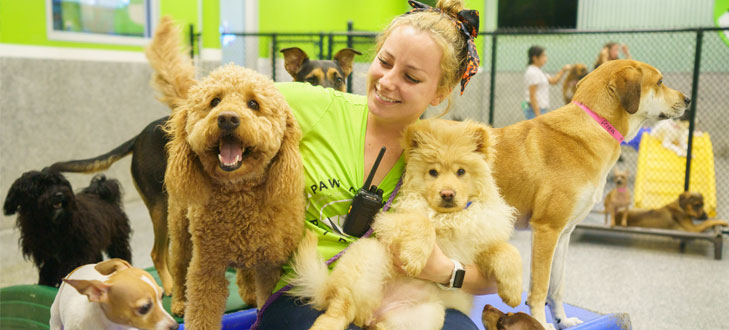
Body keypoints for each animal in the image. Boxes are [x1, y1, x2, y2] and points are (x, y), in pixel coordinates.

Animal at [2, 169, 132, 288]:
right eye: (41, 188)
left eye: (60, 183)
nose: (59, 194)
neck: (49, 225)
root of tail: (100, 193)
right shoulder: (49, 256)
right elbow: (47, 270)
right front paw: (44, 283)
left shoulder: (76, 252)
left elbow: (68, 269)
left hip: (116, 240)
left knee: (122, 253)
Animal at [145, 18, 304, 330]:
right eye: (215, 101)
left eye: (253, 104)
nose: (228, 118)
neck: (239, 197)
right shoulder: (207, 267)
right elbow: (201, 312)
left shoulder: (269, 265)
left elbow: (266, 300)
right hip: (180, 231)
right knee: (177, 266)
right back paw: (179, 301)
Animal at [288, 119, 520, 330]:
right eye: (433, 172)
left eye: (461, 172)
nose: (447, 194)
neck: (450, 217)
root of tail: (376, 312)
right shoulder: (389, 220)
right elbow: (422, 223)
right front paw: (415, 259)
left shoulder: (481, 244)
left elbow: (508, 252)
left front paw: (513, 292)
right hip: (367, 259)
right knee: (340, 308)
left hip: (427, 315)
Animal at [492, 60, 692, 330]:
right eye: (660, 81)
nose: (688, 99)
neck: (596, 124)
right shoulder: (546, 230)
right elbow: (540, 289)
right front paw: (541, 323)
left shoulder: (563, 234)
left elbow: (557, 287)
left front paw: (562, 320)